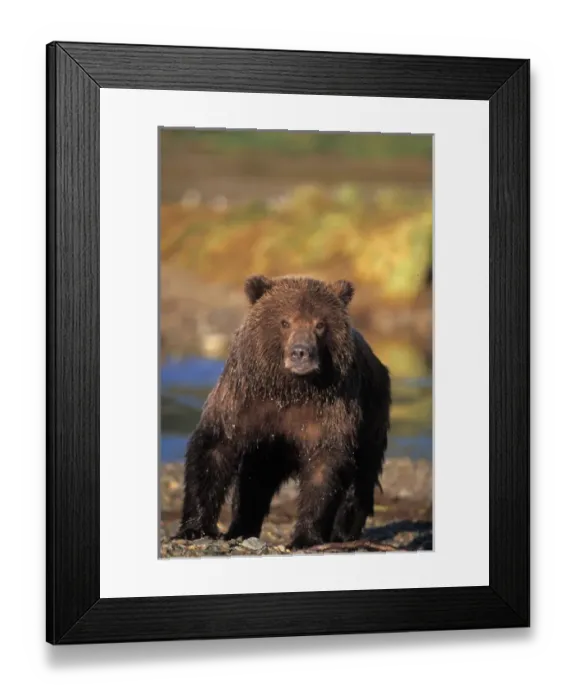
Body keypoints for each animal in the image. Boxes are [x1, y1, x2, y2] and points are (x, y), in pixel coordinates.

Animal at [174, 274, 391, 549]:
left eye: (320, 324)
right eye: (285, 321)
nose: (301, 352)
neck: (290, 389)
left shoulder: (330, 411)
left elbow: (325, 467)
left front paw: (305, 537)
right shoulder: (245, 402)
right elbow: (214, 449)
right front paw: (195, 528)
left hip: (372, 417)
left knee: (361, 480)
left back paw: (343, 533)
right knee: (254, 482)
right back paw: (240, 528)